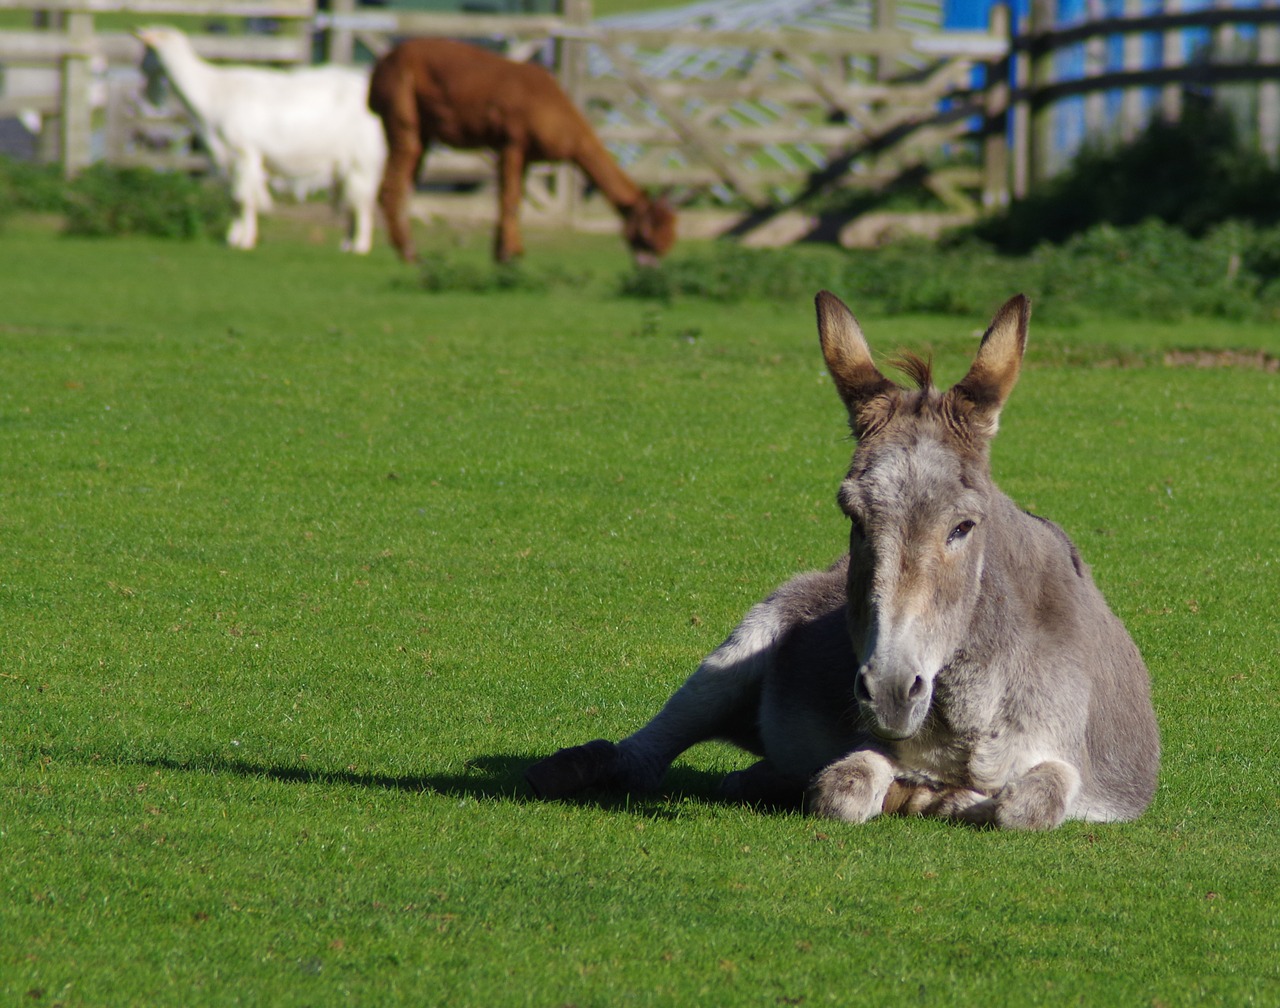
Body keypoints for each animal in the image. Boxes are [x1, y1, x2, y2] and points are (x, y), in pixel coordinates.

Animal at [136, 27, 384, 252]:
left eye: (146, 50)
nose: (144, 87)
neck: (212, 92)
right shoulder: (228, 160)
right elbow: (234, 199)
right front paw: (233, 239)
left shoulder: (245, 153)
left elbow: (243, 198)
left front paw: (244, 241)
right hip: (347, 165)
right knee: (352, 201)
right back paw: (347, 244)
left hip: (363, 159)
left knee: (362, 203)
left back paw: (360, 246)